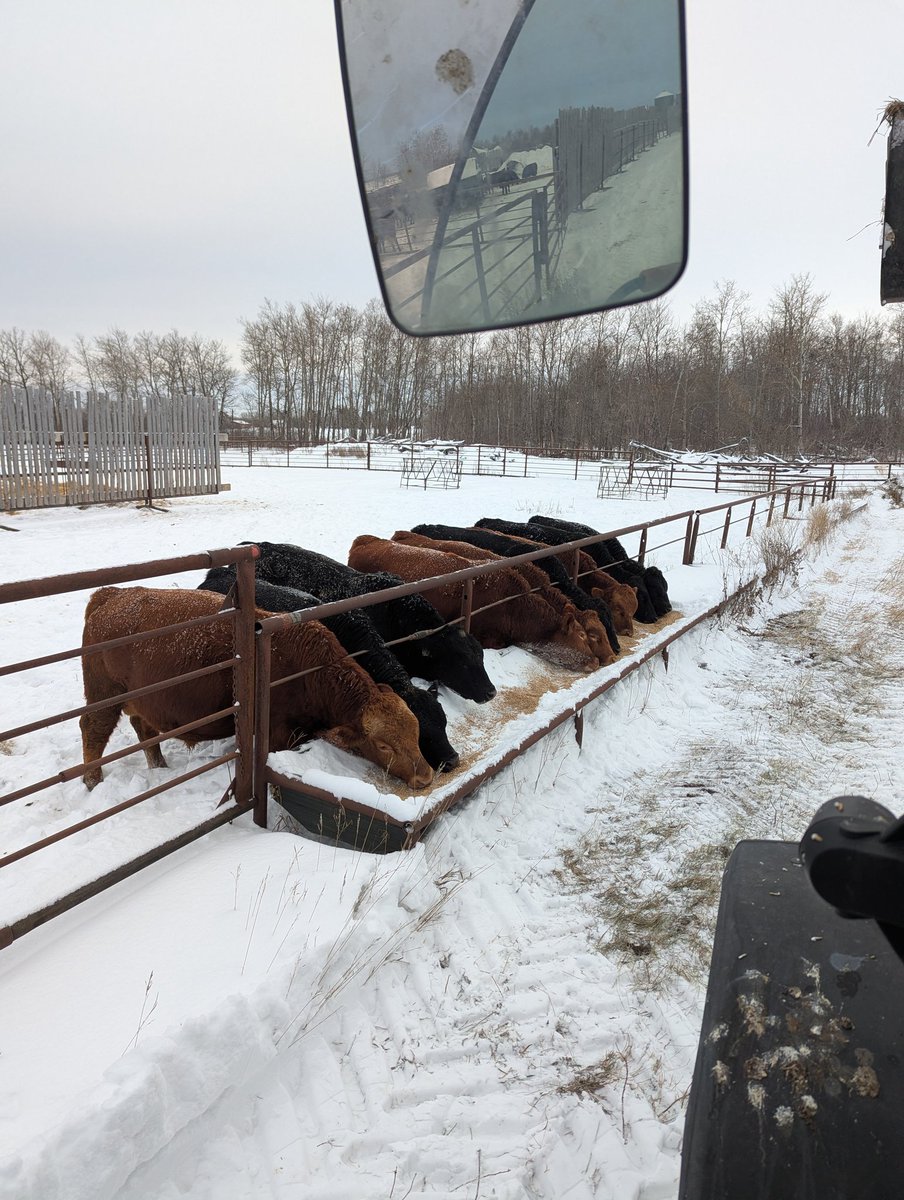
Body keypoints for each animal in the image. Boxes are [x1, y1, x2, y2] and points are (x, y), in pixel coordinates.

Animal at [80, 587, 434, 792]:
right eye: (384, 745)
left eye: (416, 734)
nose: (426, 777)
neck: (307, 667)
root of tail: (110, 597)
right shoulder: (277, 735)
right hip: (104, 697)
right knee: (93, 730)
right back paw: (93, 781)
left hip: (143, 702)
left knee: (143, 727)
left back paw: (159, 766)